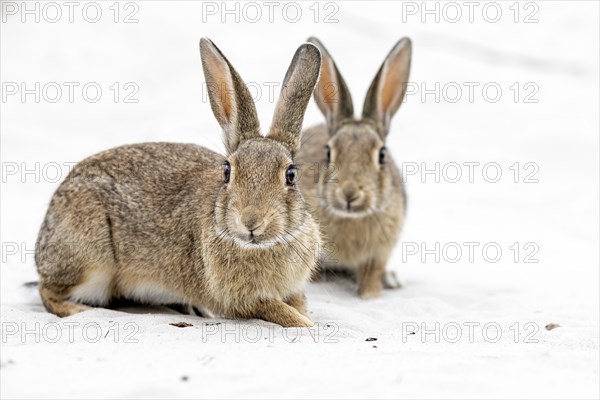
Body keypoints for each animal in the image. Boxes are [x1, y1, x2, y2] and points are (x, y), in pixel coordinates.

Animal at [32, 37, 324, 326]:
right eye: (227, 171)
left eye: (291, 174)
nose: (251, 221)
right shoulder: (241, 301)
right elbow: (276, 310)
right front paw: (306, 324)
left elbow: (298, 302)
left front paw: (306, 316)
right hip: (90, 260)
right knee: (47, 290)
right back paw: (77, 310)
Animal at [296, 37, 412, 298]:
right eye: (328, 152)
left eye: (382, 155)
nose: (349, 193)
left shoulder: (380, 251)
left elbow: (373, 272)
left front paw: (369, 294)